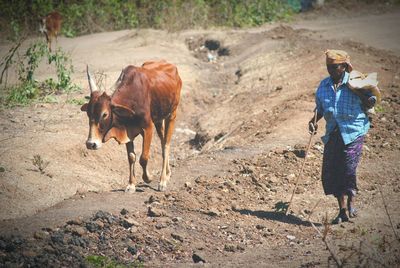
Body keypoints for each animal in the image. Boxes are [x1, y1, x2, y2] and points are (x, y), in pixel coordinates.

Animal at [80, 60, 183, 192]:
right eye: (88, 113)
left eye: (105, 114)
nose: (91, 144)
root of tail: (170, 65)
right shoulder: (127, 131)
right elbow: (131, 157)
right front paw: (131, 184)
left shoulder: (148, 127)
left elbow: (143, 158)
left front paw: (148, 178)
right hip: (159, 120)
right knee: (162, 141)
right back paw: (168, 173)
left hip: (171, 115)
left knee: (166, 145)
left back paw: (162, 181)